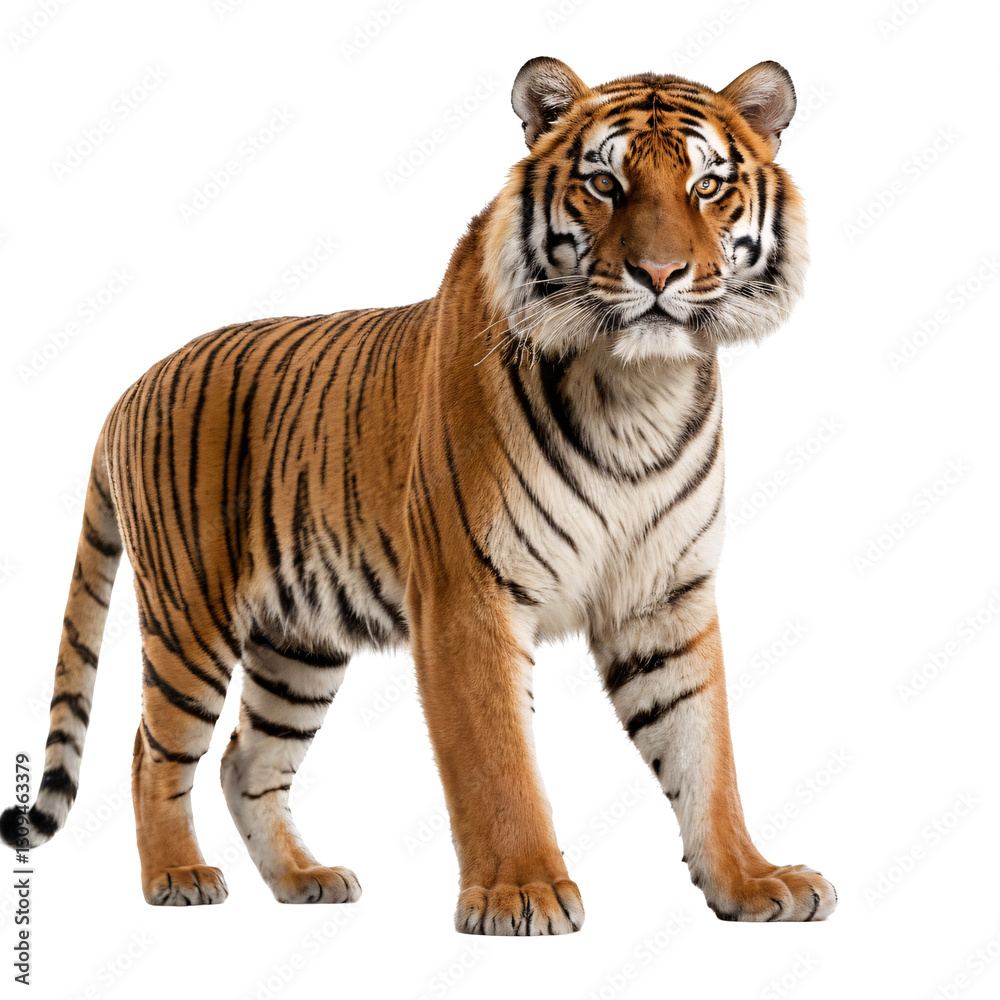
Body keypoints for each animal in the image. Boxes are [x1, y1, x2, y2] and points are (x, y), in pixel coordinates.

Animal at [1, 56, 836, 933]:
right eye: (605, 184)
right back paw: (179, 875)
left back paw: (303, 878)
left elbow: (707, 753)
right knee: (150, 751)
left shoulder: (665, 597)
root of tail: (131, 385)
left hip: (298, 646)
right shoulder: (468, 593)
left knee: (246, 761)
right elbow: (496, 760)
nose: (660, 275)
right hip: (188, 618)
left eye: (707, 186)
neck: (637, 388)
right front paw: (522, 890)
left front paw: (752, 880)